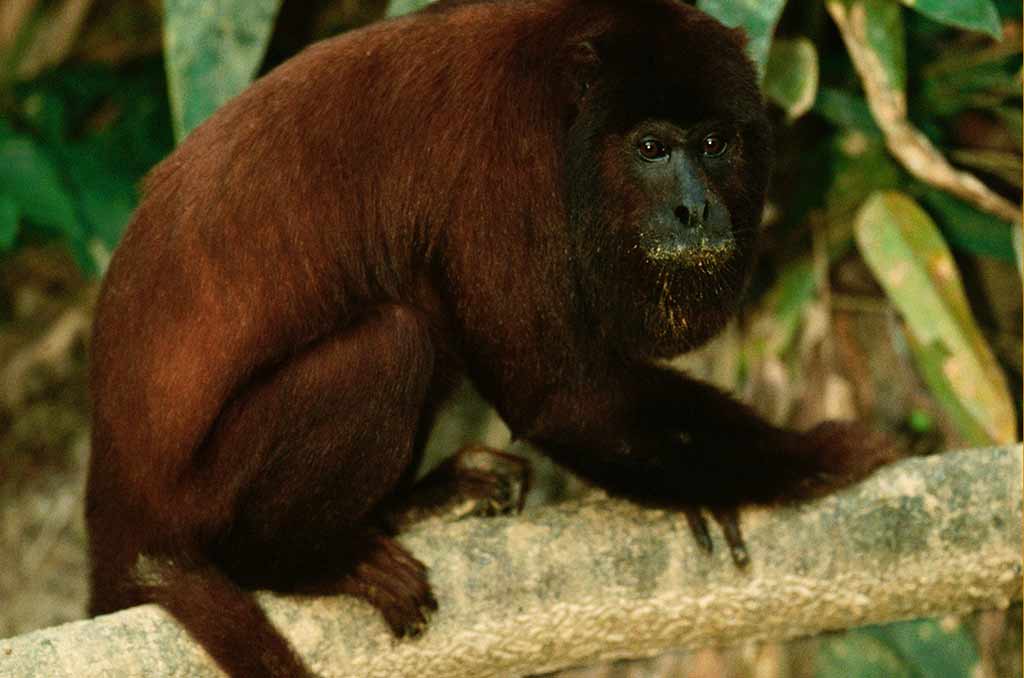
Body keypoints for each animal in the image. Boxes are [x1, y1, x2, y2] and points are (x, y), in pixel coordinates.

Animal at [86, 1, 897, 676]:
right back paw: (297, 562)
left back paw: (415, 503)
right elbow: (559, 396)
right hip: (203, 499)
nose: (697, 210)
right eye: (653, 148)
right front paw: (818, 458)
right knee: (395, 341)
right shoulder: (505, 168)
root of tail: (117, 514)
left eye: (715, 142)